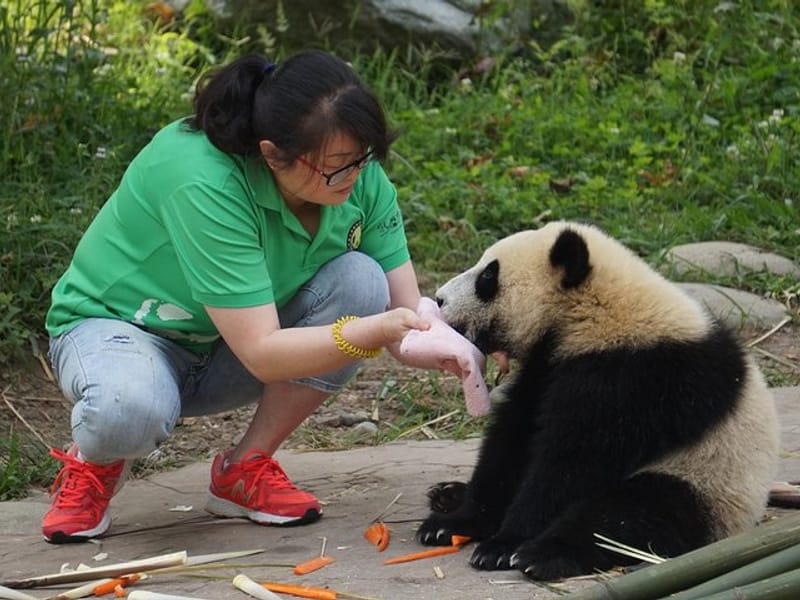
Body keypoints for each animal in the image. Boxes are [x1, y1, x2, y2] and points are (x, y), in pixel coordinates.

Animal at [416, 221, 779, 581]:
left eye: (488, 277)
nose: (440, 298)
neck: (597, 313)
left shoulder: (635, 378)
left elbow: (573, 464)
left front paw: (502, 545)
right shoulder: (548, 367)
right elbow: (513, 442)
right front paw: (453, 524)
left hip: (705, 481)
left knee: (629, 515)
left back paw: (545, 555)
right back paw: (447, 494)